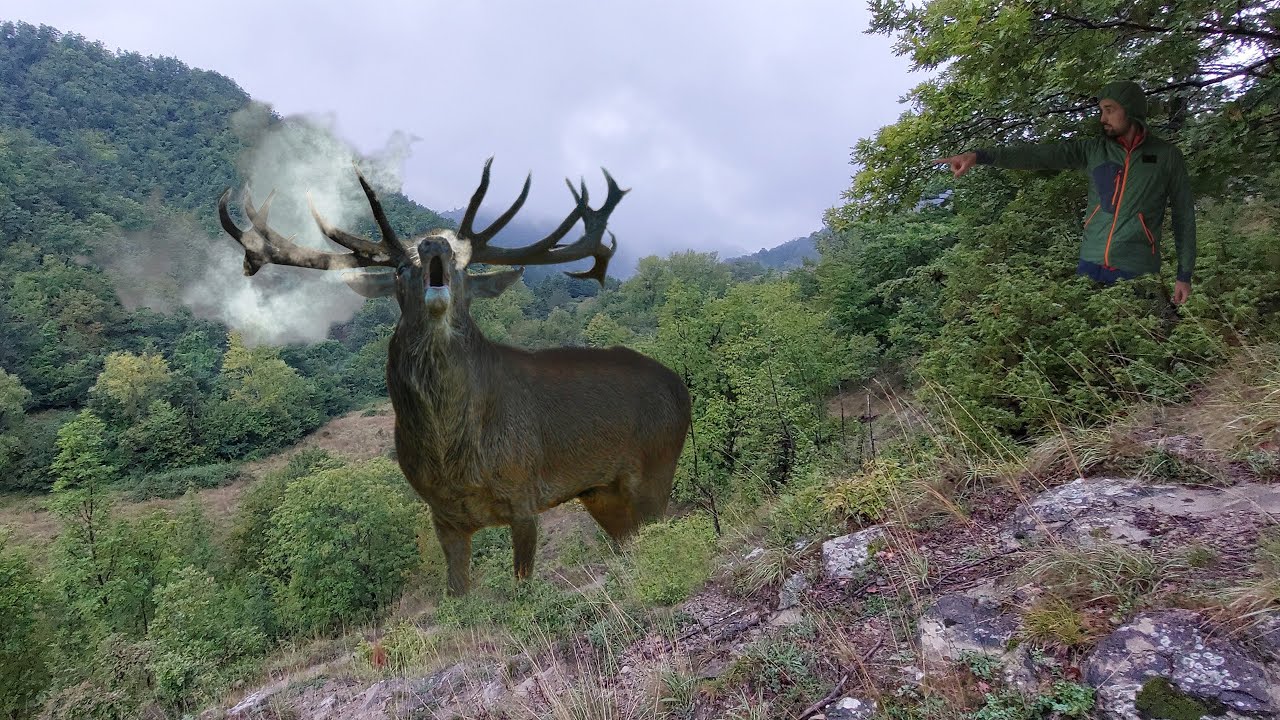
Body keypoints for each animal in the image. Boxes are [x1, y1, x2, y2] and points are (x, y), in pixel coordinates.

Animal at [217, 159, 692, 596]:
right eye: (398, 269)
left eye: (465, 268)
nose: (435, 245)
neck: (456, 458)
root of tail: (680, 385)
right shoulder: (442, 515)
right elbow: (457, 594)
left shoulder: (524, 495)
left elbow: (522, 584)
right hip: (600, 491)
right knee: (628, 541)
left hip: (657, 464)